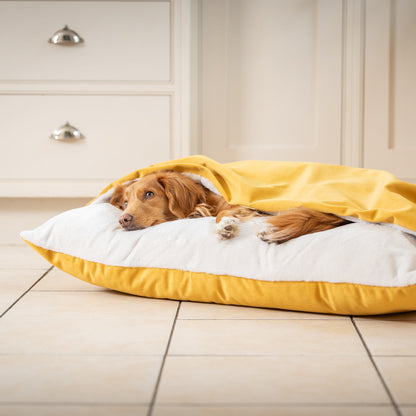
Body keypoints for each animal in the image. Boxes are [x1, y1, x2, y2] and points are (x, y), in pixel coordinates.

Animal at [108, 170, 348, 244]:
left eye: (149, 194)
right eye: (125, 203)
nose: (123, 219)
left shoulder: (235, 202)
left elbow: (224, 213)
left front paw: (225, 226)